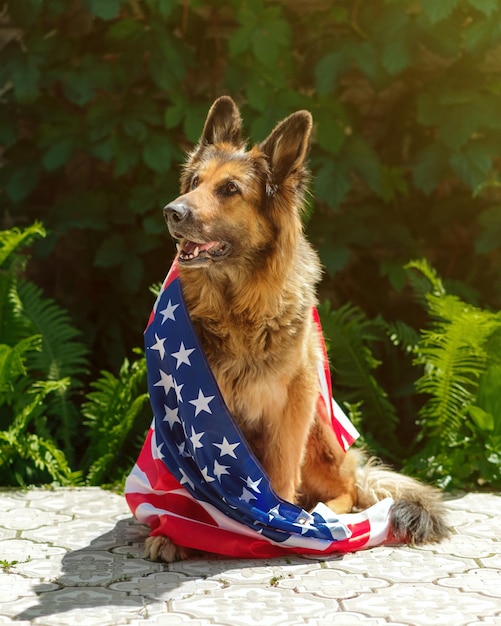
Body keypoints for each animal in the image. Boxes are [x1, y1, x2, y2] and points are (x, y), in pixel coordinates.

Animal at [142, 96, 450, 560]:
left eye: (230, 189)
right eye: (195, 181)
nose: (171, 212)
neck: (238, 307)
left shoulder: (292, 405)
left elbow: (281, 476)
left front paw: (284, 527)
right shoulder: (184, 410)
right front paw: (171, 529)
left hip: (321, 426)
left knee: (344, 490)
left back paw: (323, 514)